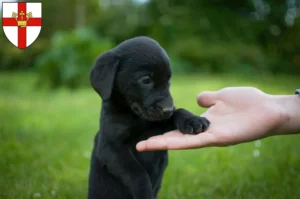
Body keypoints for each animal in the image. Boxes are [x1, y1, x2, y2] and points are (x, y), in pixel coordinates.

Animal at [86, 36, 209, 199]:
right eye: (146, 80)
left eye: (168, 80)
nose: (168, 109)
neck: (137, 118)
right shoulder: (110, 147)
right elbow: (138, 173)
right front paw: (144, 191)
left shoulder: (159, 124)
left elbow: (179, 112)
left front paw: (193, 120)